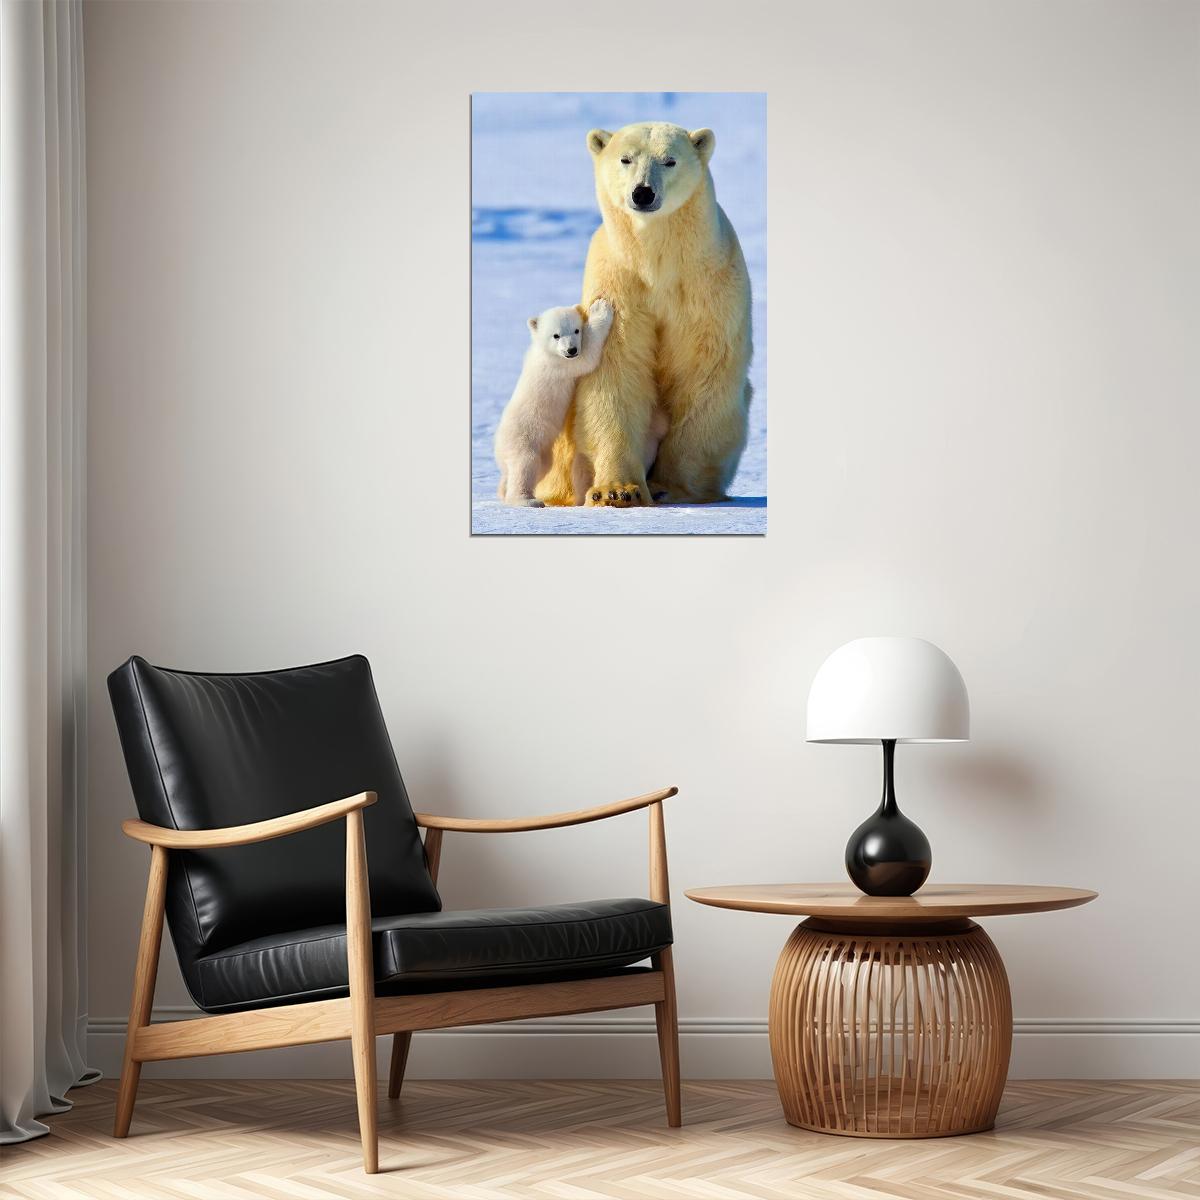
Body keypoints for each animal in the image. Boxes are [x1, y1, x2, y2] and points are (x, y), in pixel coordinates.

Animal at [494, 298, 614, 507]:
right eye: (556, 335)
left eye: (576, 330)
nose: (571, 350)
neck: (544, 351)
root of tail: (497, 447)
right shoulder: (559, 365)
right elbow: (586, 357)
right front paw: (600, 308)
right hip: (523, 437)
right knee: (524, 464)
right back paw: (527, 500)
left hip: (542, 451)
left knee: (538, 467)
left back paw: (504, 490)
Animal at [534, 122, 752, 507]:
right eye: (626, 158)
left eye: (669, 160)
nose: (643, 193)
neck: (657, 260)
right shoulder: (619, 283)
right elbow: (616, 370)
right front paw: (618, 490)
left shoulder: (707, 286)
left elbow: (703, 370)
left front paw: (671, 487)